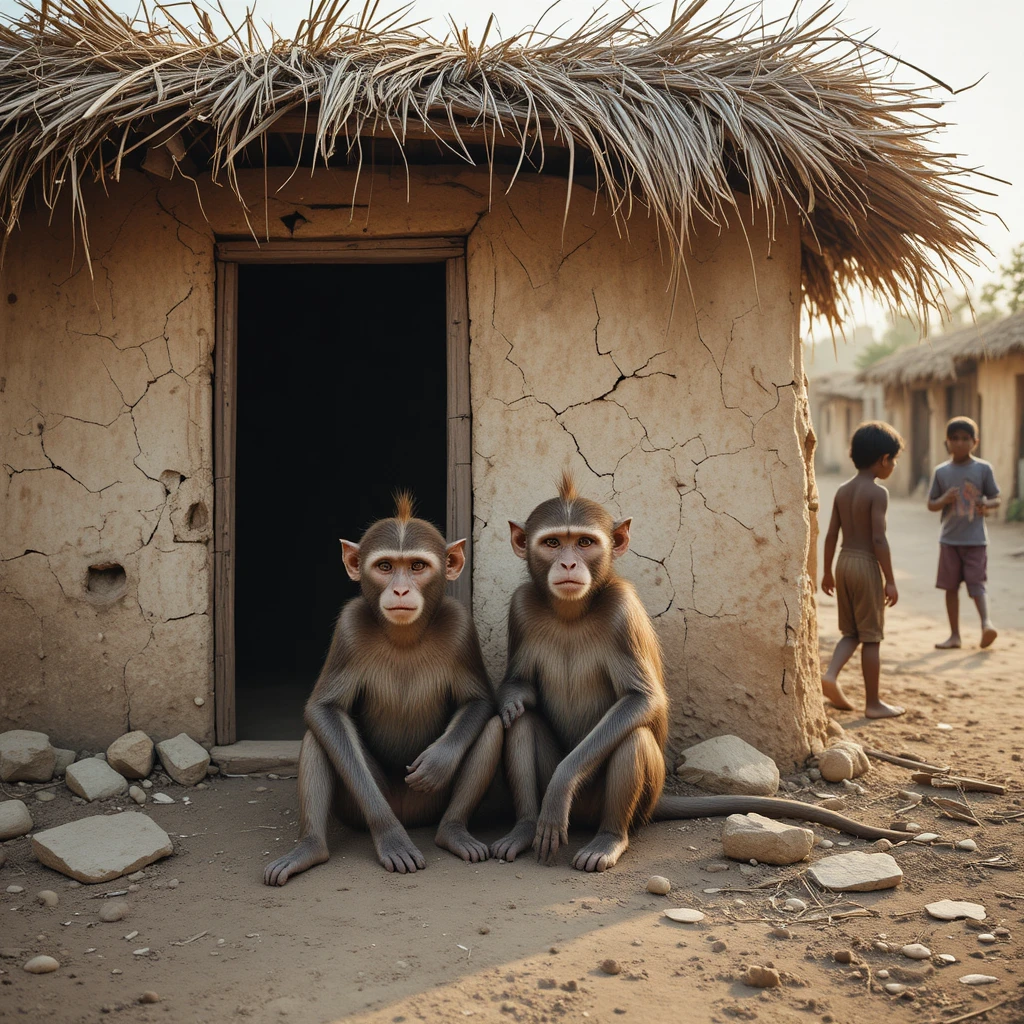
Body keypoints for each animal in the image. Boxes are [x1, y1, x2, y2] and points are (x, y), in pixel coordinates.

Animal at [264, 494, 502, 885]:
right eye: (386, 566)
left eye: (417, 566)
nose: (401, 589)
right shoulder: (349, 627)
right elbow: (324, 710)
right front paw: (390, 836)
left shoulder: (460, 626)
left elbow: (479, 701)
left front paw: (438, 761)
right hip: (368, 802)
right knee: (318, 736)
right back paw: (311, 847)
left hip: (427, 804)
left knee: (493, 728)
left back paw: (453, 831)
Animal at [491, 472, 911, 873]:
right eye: (551, 543)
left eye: (583, 543)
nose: (567, 564)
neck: (572, 612)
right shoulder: (521, 606)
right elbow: (518, 689)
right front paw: (514, 697)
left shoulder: (621, 611)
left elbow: (641, 701)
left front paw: (561, 785)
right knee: (521, 723)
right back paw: (524, 826)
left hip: (623, 802)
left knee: (633, 737)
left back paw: (608, 839)